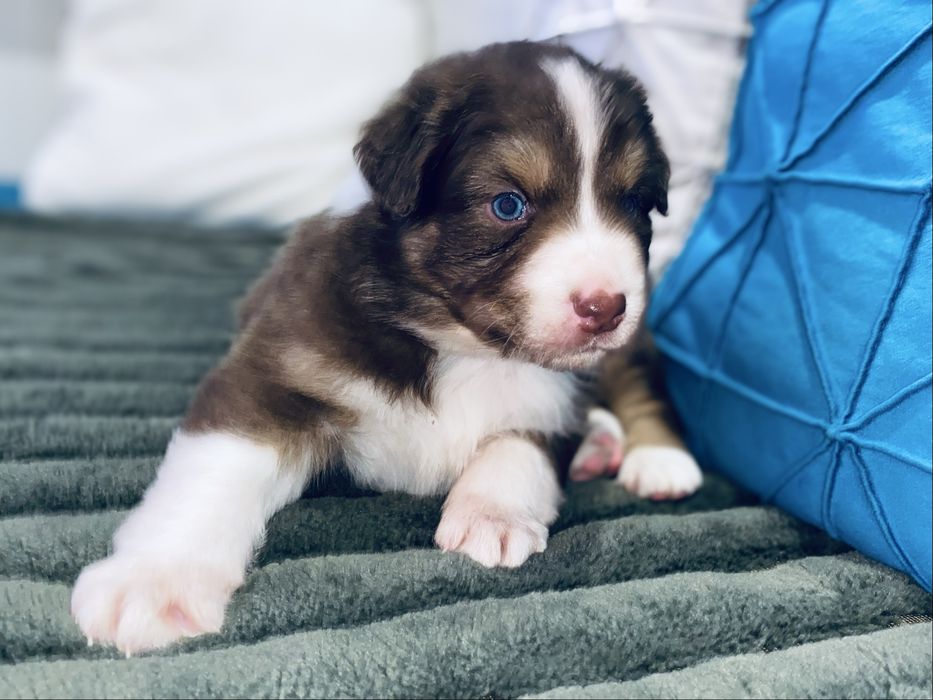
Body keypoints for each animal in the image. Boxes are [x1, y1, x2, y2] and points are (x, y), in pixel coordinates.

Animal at [71, 41, 702, 654]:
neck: (460, 345)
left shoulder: (559, 395)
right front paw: (153, 585)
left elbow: (519, 443)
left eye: (634, 202)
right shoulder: (278, 366)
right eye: (507, 204)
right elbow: (216, 472)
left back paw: (658, 460)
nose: (605, 307)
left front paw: (492, 514)